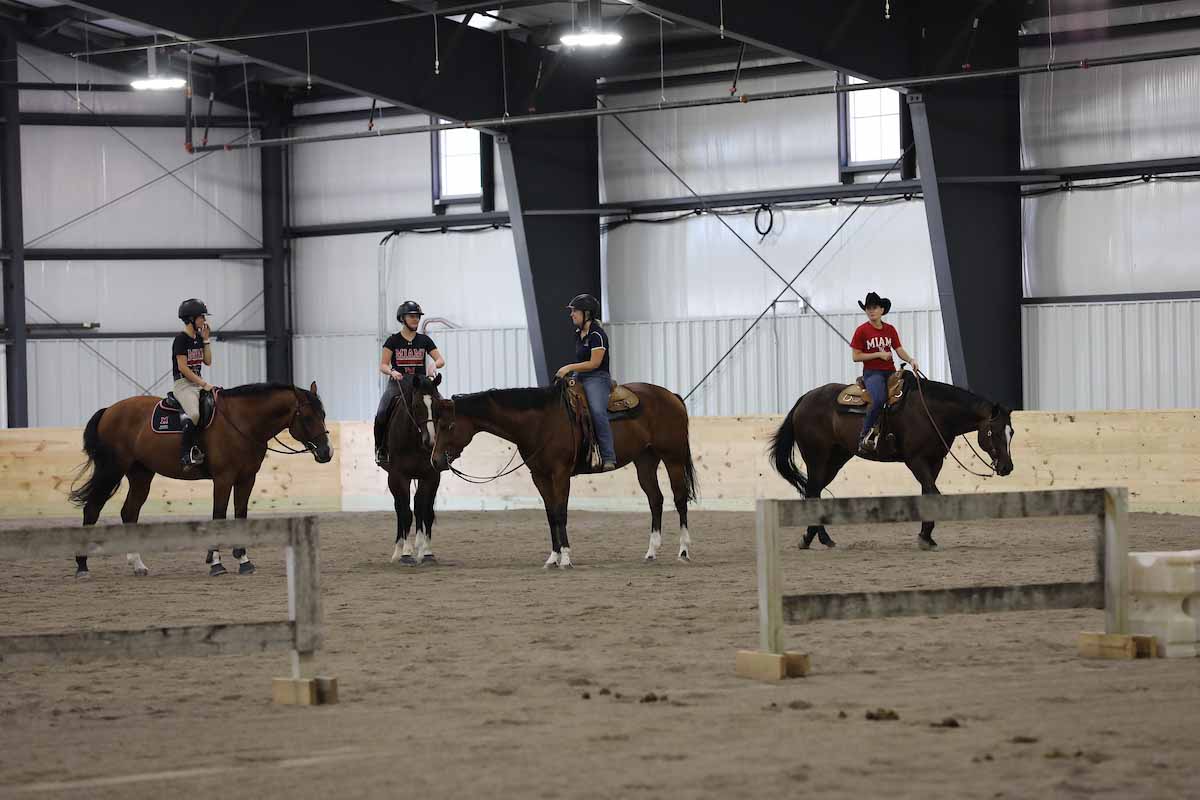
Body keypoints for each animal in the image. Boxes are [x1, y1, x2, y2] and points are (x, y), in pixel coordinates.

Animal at [69, 381, 333, 575]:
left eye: (323, 414)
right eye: (308, 417)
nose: (326, 452)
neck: (241, 422)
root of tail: (109, 410)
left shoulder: (246, 478)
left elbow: (240, 515)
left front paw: (243, 560)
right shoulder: (224, 479)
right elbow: (219, 516)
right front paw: (216, 562)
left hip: (140, 473)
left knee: (129, 512)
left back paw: (138, 564)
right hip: (111, 470)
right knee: (92, 509)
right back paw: (82, 566)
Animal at [379, 374, 446, 563]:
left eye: (437, 405)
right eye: (416, 406)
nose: (430, 441)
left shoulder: (431, 476)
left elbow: (426, 511)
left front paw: (427, 551)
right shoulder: (399, 477)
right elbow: (405, 513)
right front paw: (407, 552)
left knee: (419, 507)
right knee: (400, 509)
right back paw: (398, 551)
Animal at [432, 383, 700, 566]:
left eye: (449, 426)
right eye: (436, 425)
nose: (435, 461)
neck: (541, 423)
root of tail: (672, 396)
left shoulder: (560, 474)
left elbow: (561, 513)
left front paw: (567, 558)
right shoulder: (539, 476)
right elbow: (551, 514)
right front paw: (553, 557)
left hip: (673, 458)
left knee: (679, 499)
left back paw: (684, 551)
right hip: (645, 460)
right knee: (656, 500)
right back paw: (651, 552)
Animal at [768, 369, 1012, 551]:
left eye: (1012, 432)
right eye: (995, 433)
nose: (1007, 467)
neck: (931, 412)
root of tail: (804, 399)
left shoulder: (935, 462)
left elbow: (928, 493)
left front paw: (926, 535)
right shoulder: (916, 460)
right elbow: (933, 493)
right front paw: (925, 537)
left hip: (835, 460)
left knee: (814, 492)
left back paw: (818, 538)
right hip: (817, 458)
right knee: (812, 492)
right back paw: (813, 538)